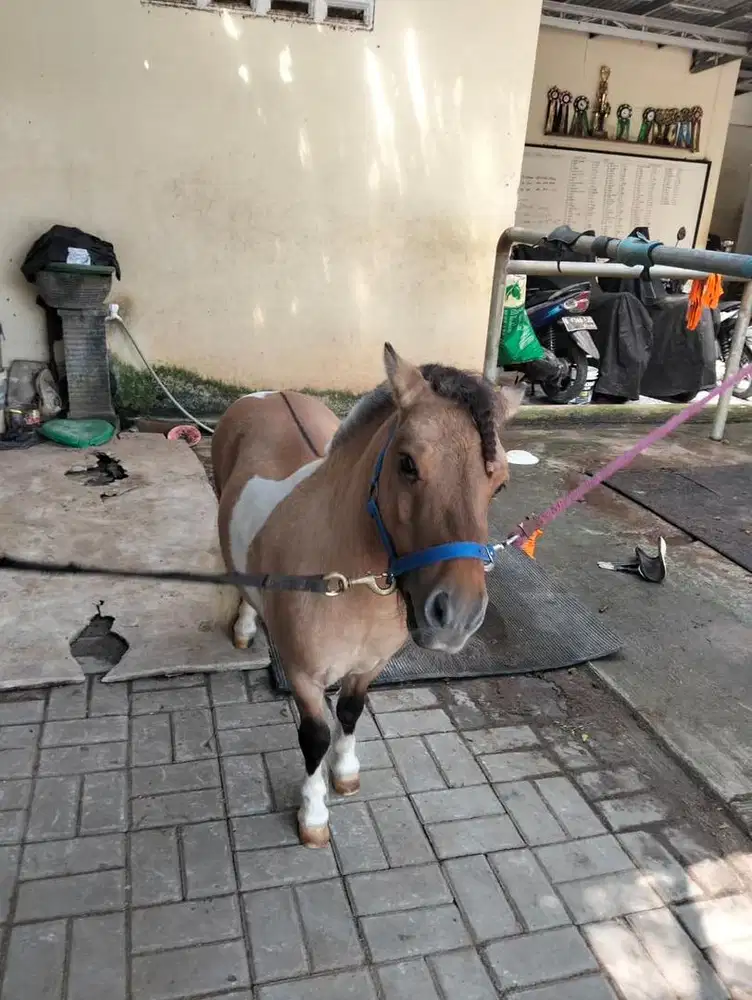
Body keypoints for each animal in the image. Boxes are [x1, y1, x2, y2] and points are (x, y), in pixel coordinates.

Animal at [212, 344, 523, 847]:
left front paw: (345, 773)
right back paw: (243, 626)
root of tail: (265, 395)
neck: (346, 583)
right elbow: (315, 737)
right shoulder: (303, 676)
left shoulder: (369, 667)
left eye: (500, 484)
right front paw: (314, 813)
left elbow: (351, 712)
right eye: (407, 463)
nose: (455, 616)